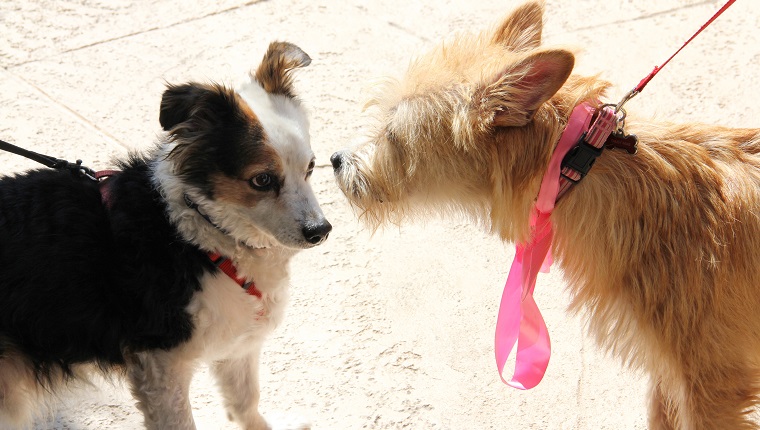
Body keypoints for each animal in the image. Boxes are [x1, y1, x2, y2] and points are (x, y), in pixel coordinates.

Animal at [0, 41, 330, 430]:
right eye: (262, 180)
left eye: (311, 168)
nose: (320, 231)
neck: (199, 236)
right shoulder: (161, 365)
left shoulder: (236, 341)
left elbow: (245, 401)